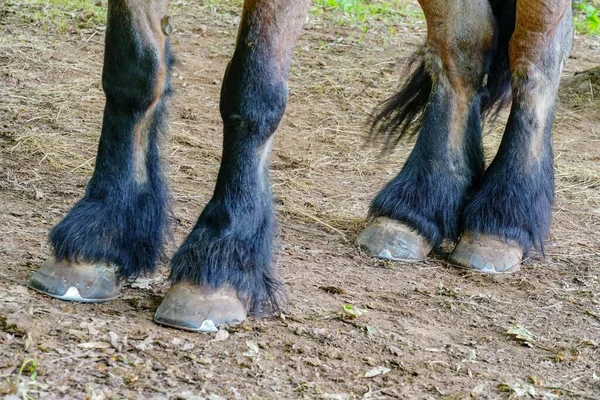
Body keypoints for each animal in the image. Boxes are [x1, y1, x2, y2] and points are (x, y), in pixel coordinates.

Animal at [27, 0, 572, 332]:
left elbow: (252, 90)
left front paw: (221, 258)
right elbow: (133, 70)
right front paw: (102, 233)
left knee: (537, 49)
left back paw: (504, 216)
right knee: (463, 42)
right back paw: (415, 208)